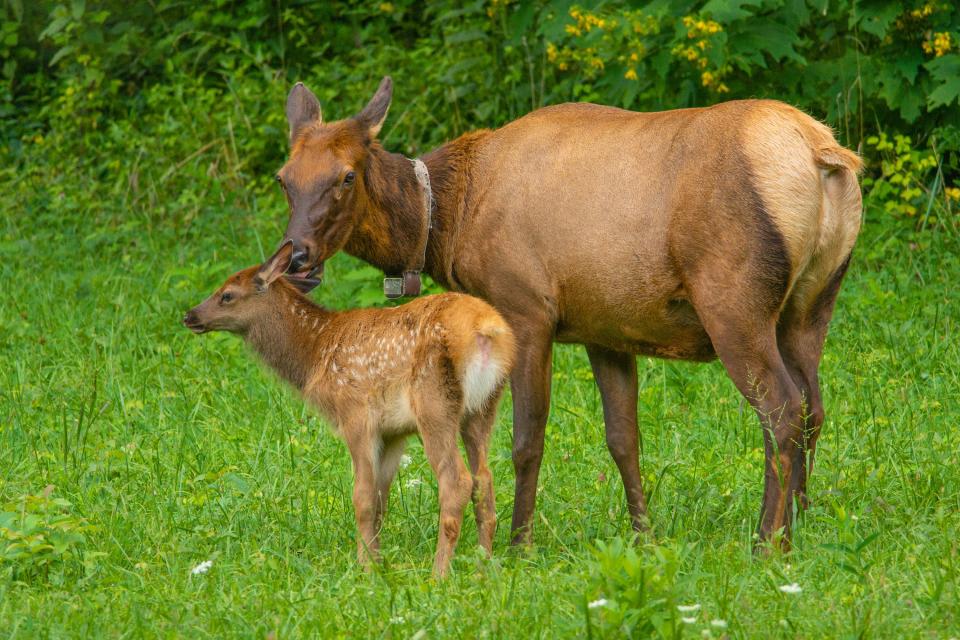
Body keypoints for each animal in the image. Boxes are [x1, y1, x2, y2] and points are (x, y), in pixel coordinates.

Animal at [179, 242, 510, 576]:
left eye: (227, 294)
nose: (189, 316)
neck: (316, 353)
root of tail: (486, 330)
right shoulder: (394, 432)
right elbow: (380, 500)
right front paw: (378, 562)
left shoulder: (355, 414)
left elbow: (362, 498)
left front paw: (365, 568)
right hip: (482, 408)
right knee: (484, 479)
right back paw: (484, 567)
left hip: (434, 403)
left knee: (457, 481)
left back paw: (438, 573)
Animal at [270, 74, 864, 544]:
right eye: (284, 179)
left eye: (346, 176)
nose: (296, 257)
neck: (449, 219)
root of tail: (823, 156)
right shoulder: (608, 327)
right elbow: (624, 440)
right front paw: (643, 536)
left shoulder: (526, 309)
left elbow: (527, 439)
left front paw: (517, 543)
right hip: (810, 306)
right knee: (813, 407)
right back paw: (802, 523)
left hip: (734, 303)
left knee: (782, 408)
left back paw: (769, 539)